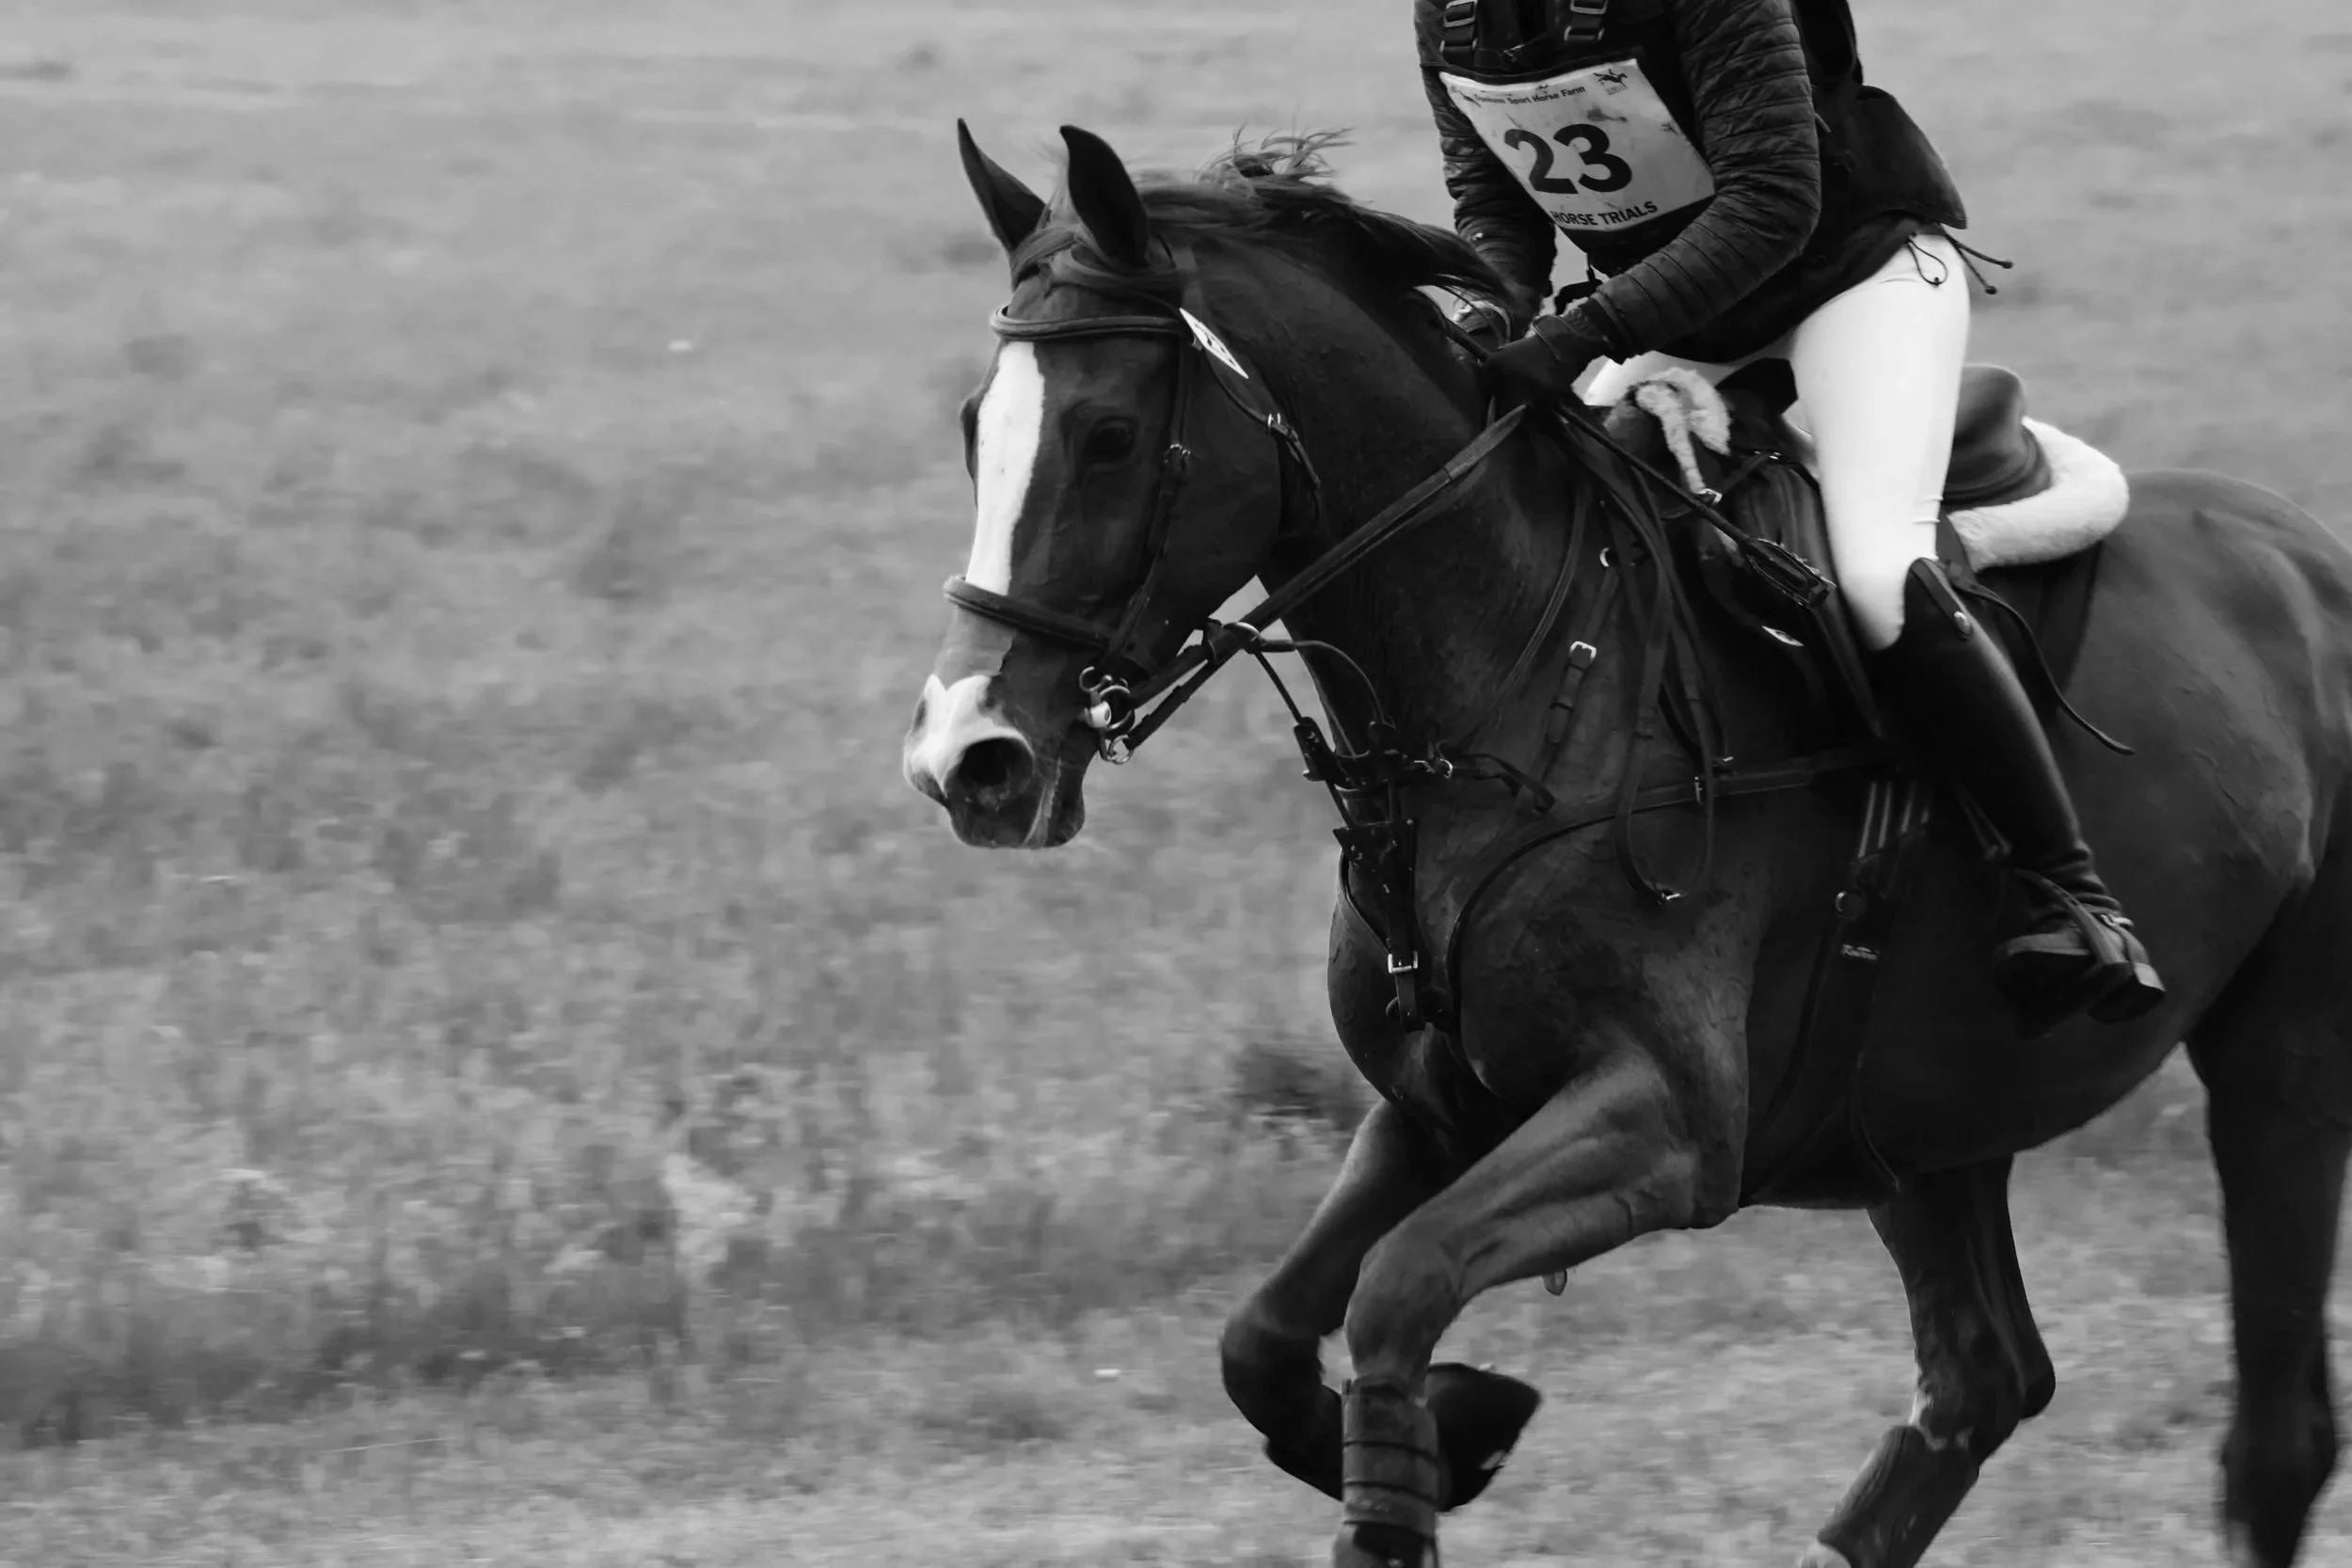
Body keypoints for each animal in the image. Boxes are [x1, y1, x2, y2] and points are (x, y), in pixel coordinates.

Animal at [902, 122, 2352, 1568]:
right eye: (977, 428)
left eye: (1108, 436)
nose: (970, 758)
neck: (1516, 672)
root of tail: (2307, 554)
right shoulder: (1438, 1108)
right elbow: (1259, 1339)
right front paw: (1466, 1421)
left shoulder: (1663, 1126)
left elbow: (1395, 1292)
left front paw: (1437, 1436)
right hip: (1924, 1115)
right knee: (1981, 1375)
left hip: (2279, 1054)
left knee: (2271, 1427)